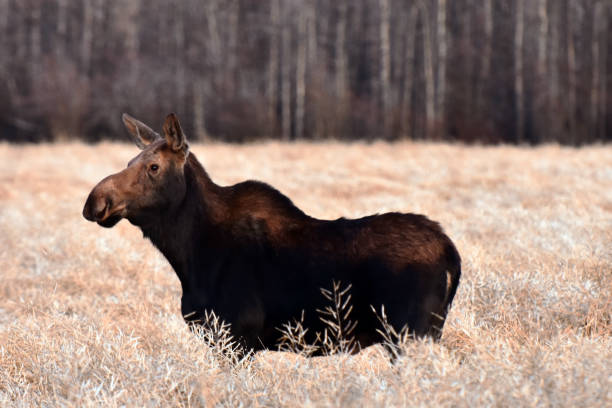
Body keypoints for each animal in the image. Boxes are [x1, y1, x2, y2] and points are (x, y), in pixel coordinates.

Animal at [83, 112, 462, 354]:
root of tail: (451, 253)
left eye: (153, 166)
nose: (96, 201)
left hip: (410, 333)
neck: (188, 255)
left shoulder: (237, 336)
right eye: (129, 163)